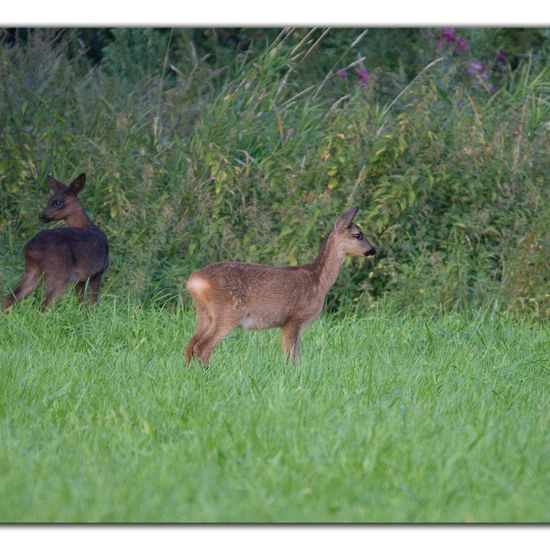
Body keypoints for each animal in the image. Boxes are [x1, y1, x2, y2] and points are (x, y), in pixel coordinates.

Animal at [3, 174, 110, 310]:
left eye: (57, 202)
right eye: (50, 200)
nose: (42, 216)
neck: (85, 224)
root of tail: (29, 248)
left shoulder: (81, 279)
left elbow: (81, 303)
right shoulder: (98, 272)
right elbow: (93, 303)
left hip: (33, 270)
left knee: (10, 298)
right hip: (58, 273)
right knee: (44, 305)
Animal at [185, 207, 376, 370]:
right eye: (358, 235)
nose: (373, 250)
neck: (318, 280)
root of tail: (194, 281)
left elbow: (297, 356)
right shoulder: (293, 318)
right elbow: (290, 356)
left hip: (204, 314)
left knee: (190, 344)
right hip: (228, 312)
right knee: (202, 347)